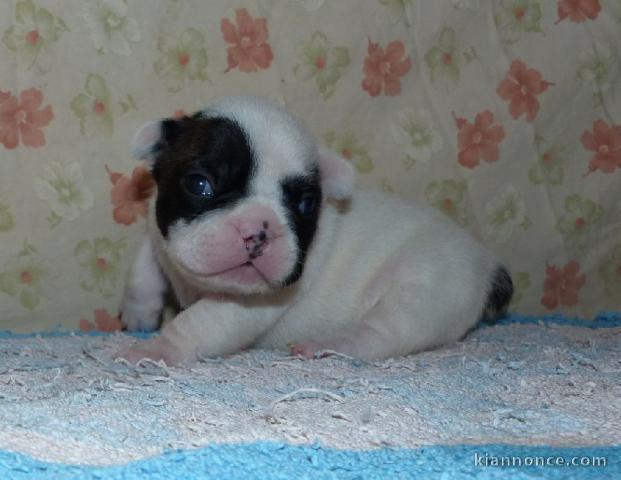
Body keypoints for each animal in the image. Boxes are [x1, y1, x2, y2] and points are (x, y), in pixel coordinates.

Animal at [117, 95, 512, 364]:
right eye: (200, 185)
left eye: (306, 204)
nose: (258, 230)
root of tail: (488, 264)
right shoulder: (157, 233)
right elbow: (142, 267)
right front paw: (139, 313)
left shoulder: (249, 303)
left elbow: (199, 322)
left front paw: (158, 348)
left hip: (423, 293)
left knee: (381, 335)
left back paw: (329, 345)